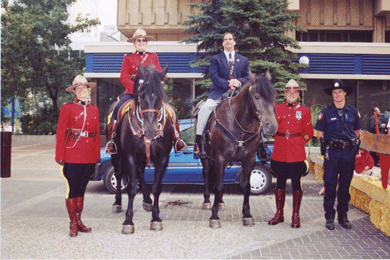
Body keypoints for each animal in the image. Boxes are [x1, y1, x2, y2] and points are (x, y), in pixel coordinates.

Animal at [110, 63, 173, 234]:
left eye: (160, 95)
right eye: (141, 95)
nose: (150, 131)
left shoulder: (163, 158)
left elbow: (156, 187)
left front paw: (156, 218)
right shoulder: (130, 156)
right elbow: (131, 187)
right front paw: (128, 221)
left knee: (140, 173)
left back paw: (147, 200)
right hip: (116, 155)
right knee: (119, 174)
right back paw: (117, 202)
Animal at [201, 70, 278, 228]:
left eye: (274, 95)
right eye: (256, 96)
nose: (271, 126)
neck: (238, 123)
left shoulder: (249, 159)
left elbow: (246, 185)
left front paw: (247, 215)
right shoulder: (220, 158)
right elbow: (218, 186)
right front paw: (214, 216)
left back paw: (220, 202)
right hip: (205, 157)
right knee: (206, 174)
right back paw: (207, 202)